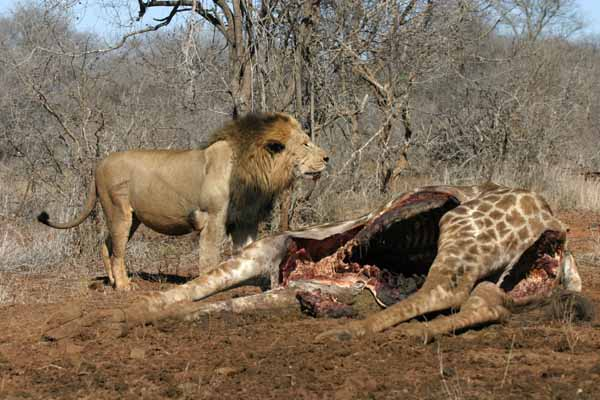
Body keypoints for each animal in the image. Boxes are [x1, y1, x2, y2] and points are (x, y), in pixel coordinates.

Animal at [37, 112, 328, 290]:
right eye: (305, 144)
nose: (327, 157)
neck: (256, 170)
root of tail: (99, 164)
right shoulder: (213, 218)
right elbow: (210, 256)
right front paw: (210, 284)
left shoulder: (244, 221)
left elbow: (247, 252)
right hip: (118, 212)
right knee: (117, 250)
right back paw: (124, 286)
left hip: (132, 219)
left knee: (106, 245)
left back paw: (111, 281)